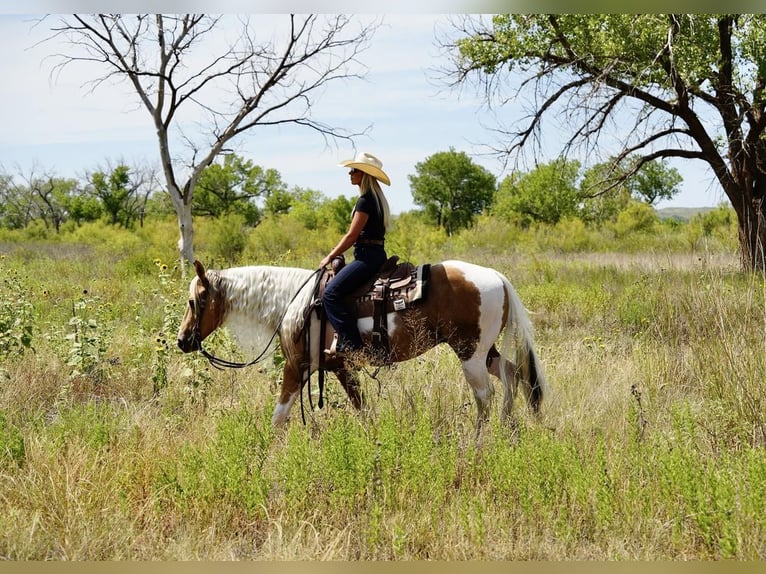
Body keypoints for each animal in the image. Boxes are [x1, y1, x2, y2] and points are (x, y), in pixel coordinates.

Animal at [178, 260, 552, 432]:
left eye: (195, 301)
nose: (183, 341)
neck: (294, 303)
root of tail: (497, 277)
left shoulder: (297, 367)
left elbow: (279, 417)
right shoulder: (340, 368)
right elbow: (363, 409)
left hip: (469, 354)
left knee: (484, 396)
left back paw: (478, 442)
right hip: (485, 352)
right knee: (513, 375)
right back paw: (508, 428)